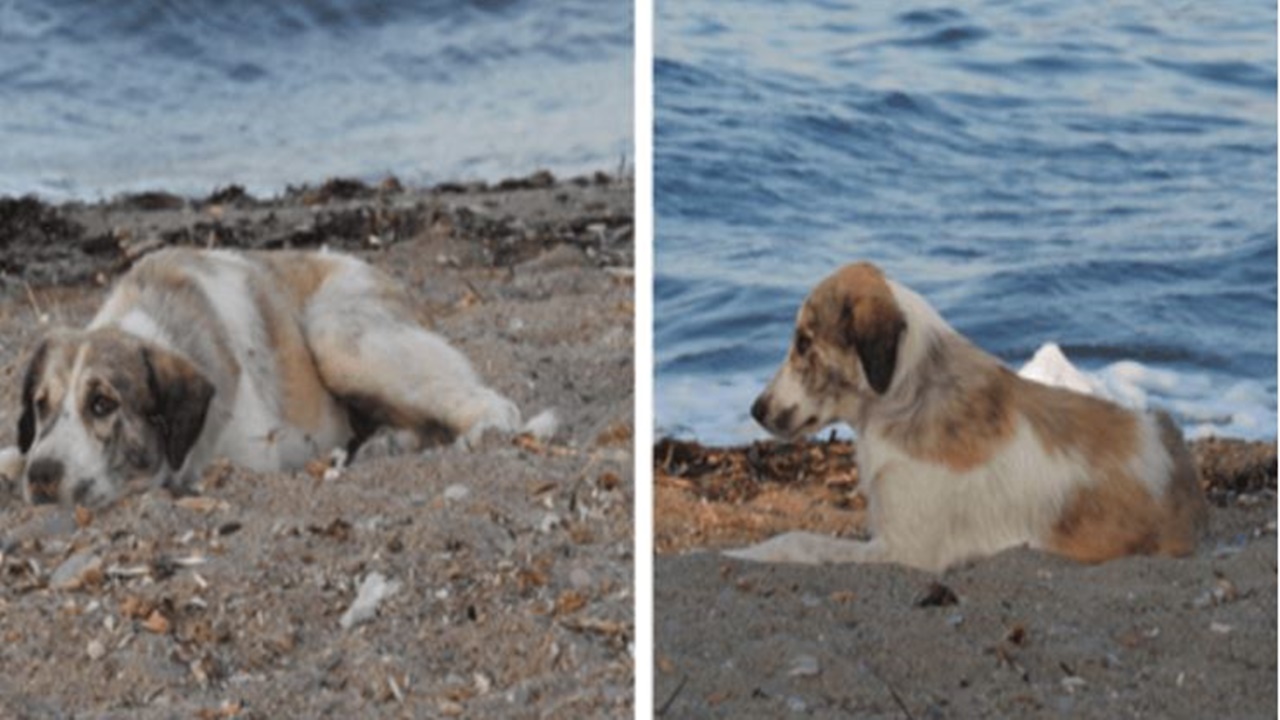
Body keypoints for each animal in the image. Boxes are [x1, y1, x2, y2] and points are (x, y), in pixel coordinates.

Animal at [732, 260, 1208, 568]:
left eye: (804, 343)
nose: (756, 409)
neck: (908, 394)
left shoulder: (905, 550)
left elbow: (797, 541)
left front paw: (742, 553)